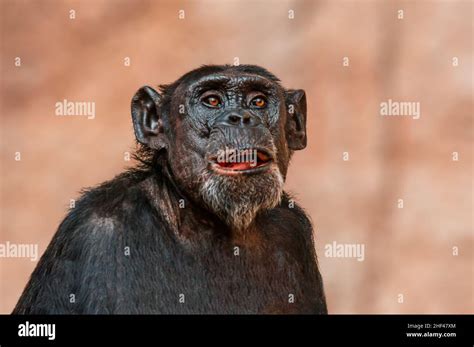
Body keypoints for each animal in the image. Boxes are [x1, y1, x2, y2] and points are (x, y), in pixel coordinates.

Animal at [12, 65, 328, 316]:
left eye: (258, 101)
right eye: (212, 101)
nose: (241, 117)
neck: (205, 221)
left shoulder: (292, 232)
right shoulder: (95, 235)